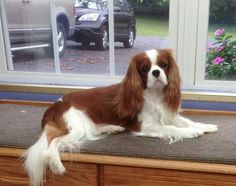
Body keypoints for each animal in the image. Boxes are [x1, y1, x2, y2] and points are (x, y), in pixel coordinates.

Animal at [24, 48, 218, 185]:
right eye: (145, 69)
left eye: (163, 65)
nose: (156, 73)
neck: (154, 95)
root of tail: (54, 107)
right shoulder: (145, 126)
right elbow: (171, 128)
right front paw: (192, 132)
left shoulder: (168, 114)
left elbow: (185, 121)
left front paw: (205, 126)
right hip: (75, 126)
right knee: (52, 144)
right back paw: (58, 165)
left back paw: (112, 128)